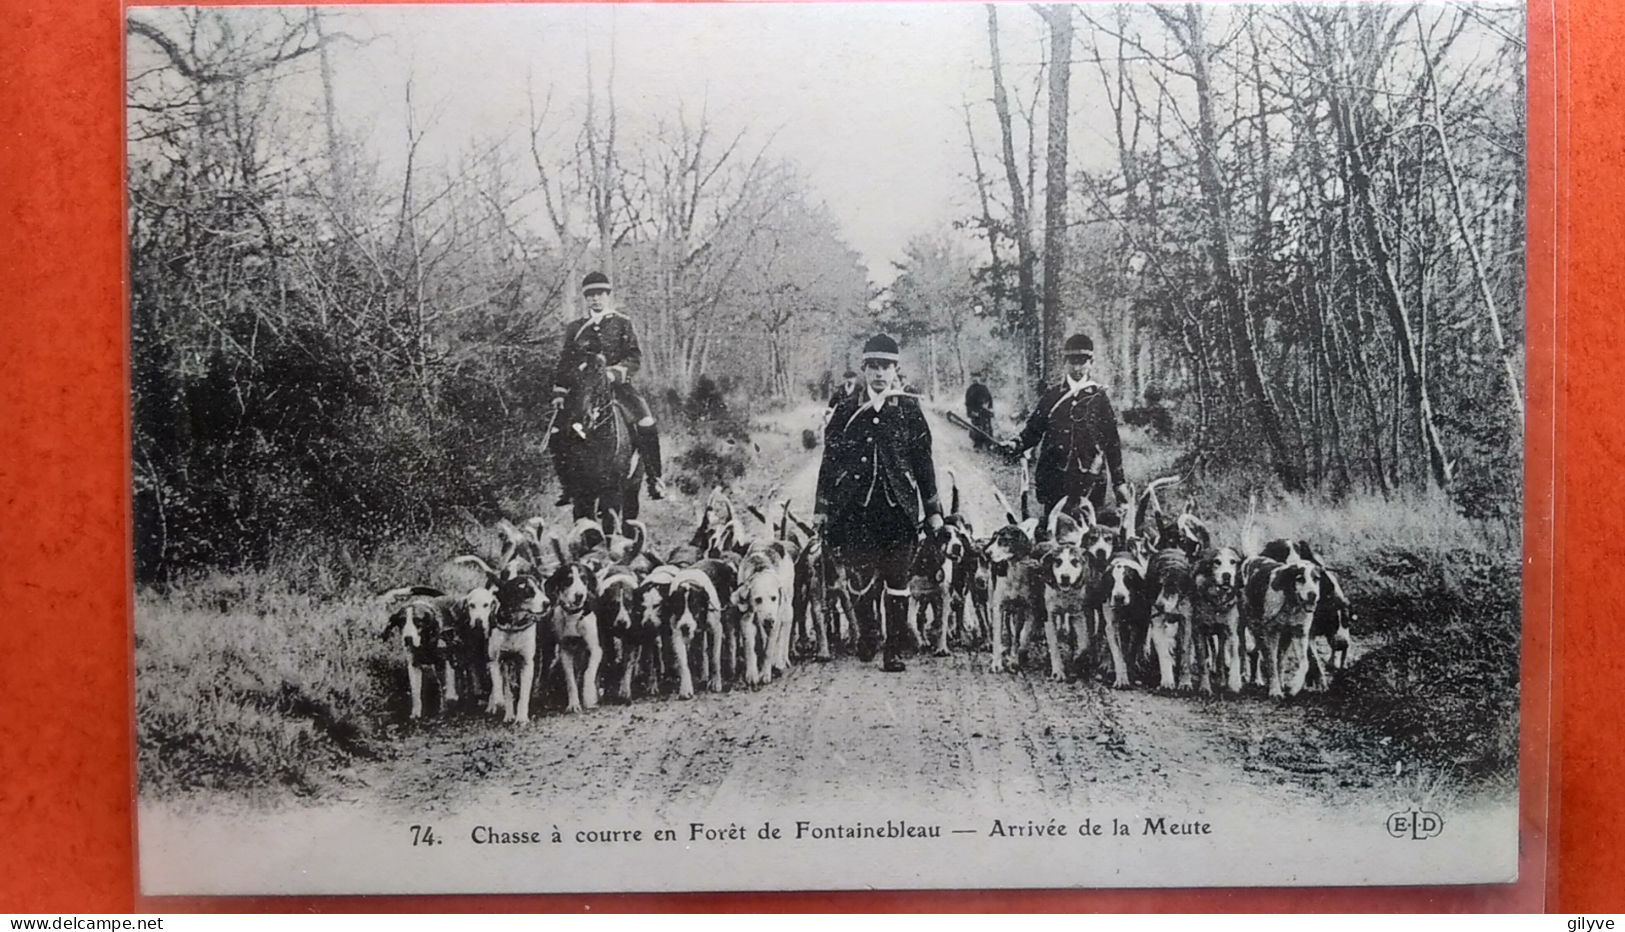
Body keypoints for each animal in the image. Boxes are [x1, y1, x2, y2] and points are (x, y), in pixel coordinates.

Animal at [552, 353, 640, 529]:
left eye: (600, 374)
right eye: (573, 375)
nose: (582, 418)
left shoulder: (612, 494)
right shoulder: (581, 494)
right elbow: (587, 527)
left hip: (633, 487)